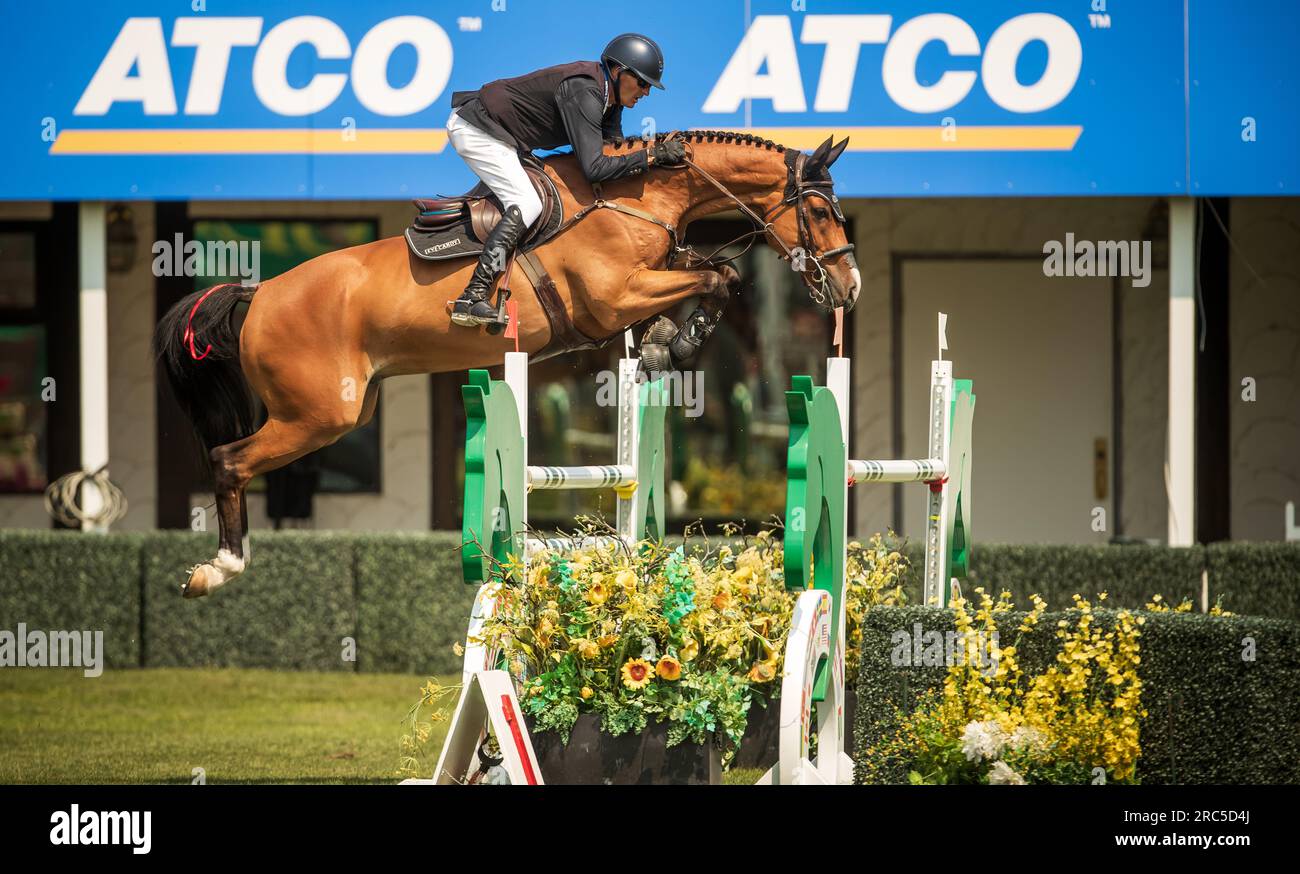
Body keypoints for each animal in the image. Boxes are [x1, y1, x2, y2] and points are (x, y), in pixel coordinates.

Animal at [154, 130, 863, 598]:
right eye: (819, 211)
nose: (849, 289)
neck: (639, 197)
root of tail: (258, 293)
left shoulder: (649, 282)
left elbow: (718, 275)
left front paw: (667, 342)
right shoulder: (614, 297)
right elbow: (718, 275)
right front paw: (674, 340)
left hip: (339, 410)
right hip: (320, 416)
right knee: (229, 461)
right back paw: (218, 568)